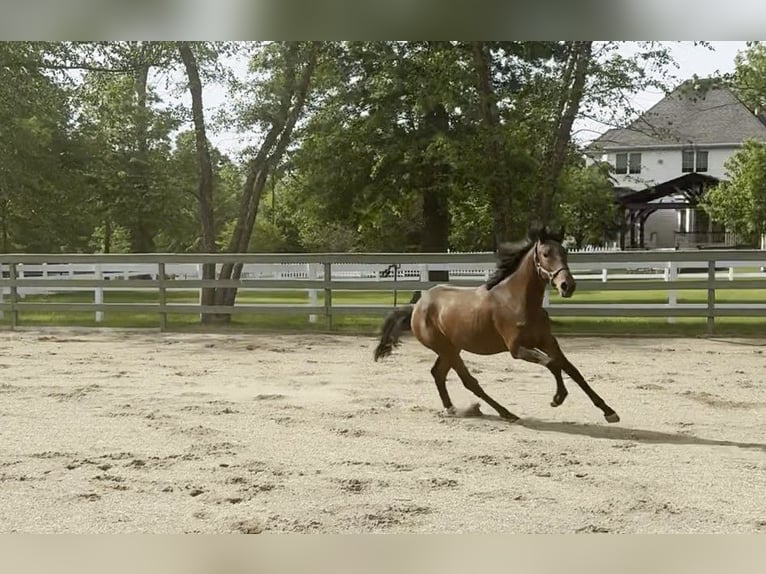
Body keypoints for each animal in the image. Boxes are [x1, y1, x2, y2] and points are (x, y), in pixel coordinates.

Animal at [373, 225, 620, 424]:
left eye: (565, 252)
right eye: (546, 253)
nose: (567, 286)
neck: (519, 301)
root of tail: (416, 306)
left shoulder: (548, 341)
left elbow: (571, 369)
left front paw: (609, 411)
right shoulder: (517, 349)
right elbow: (552, 364)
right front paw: (558, 398)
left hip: (452, 348)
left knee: (438, 374)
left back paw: (452, 409)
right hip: (446, 349)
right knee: (469, 381)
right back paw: (506, 413)